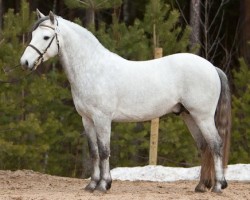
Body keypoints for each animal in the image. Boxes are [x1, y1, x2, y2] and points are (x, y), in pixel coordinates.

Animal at [20, 10, 231, 193]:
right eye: (32, 35)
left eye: (46, 37)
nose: (25, 63)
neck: (93, 68)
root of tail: (211, 67)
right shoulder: (87, 119)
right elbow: (94, 151)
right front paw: (92, 184)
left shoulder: (102, 119)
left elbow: (104, 151)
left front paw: (103, 185)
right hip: (189, 116)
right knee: (204, 146)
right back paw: (201, 186)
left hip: (202, 116)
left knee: (215, 145)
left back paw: (218, 186)